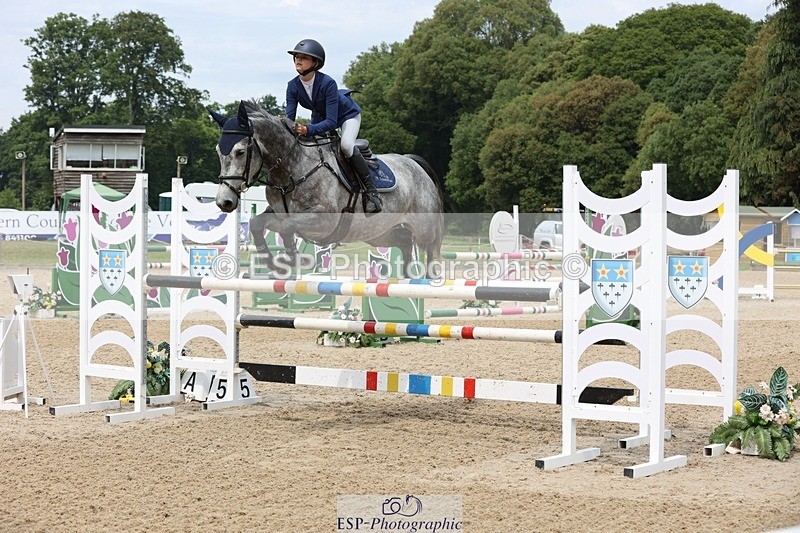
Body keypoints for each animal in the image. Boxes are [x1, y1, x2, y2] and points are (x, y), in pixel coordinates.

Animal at [211, 100, 445, 277]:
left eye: (240, 152)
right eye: (218, 152)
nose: (224, 202)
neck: (292, 167)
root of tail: (413, 163)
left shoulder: (324, 220)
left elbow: (288, 227)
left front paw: (296, 260)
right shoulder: (278, 214)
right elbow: (257, 224)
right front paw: (272, 262)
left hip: (424, 229)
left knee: (430, 249)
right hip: (379, 233)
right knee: (404, 242)